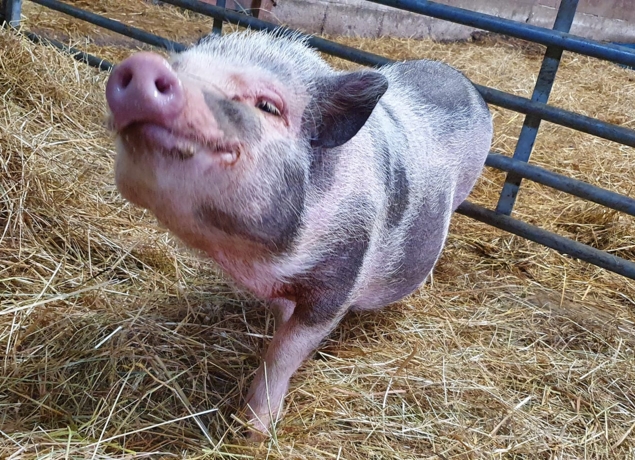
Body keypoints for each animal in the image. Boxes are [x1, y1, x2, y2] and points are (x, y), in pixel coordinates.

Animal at [104, 28, 494, 438]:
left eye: (268, 106)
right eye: (179, 66)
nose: (145, 65)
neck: (258, 260)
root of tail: (463, 80)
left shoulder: (340, 279)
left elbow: (284, 353)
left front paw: (255, 431)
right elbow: (281, 326)